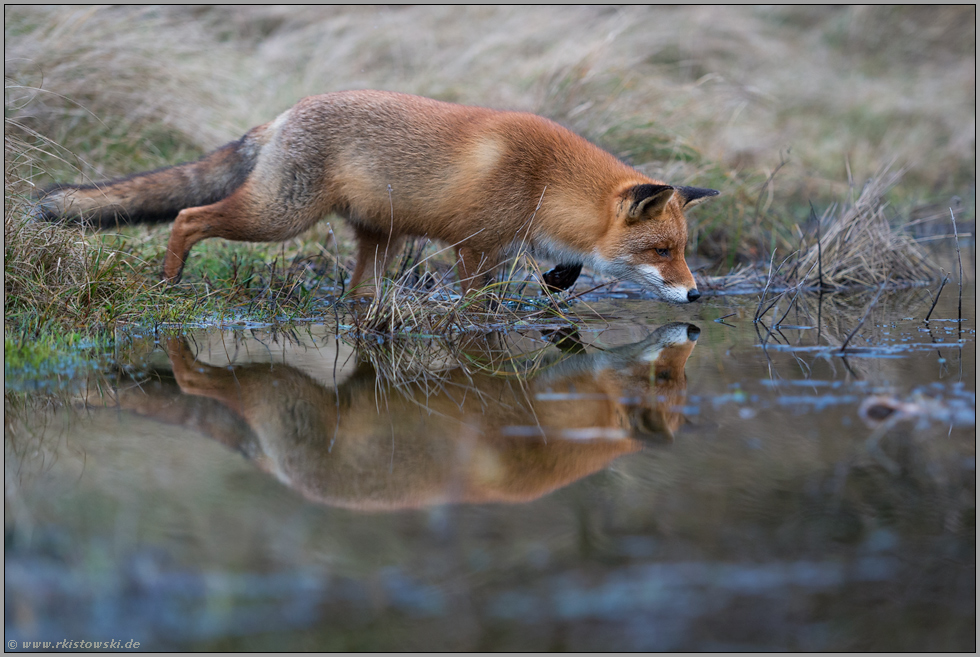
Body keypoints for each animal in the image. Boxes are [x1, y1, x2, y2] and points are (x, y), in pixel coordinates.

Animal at [36, 88, 720, 302]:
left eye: (679, 251)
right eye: (662, 252)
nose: (695, 295)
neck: (543, 181)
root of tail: (279, 118)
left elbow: (563, 267)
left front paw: (559, 278)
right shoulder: (474, 248)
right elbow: (479, 308)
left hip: (381, 238)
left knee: (359, 293)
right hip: (277, 217)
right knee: (186, 215)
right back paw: (171, 279)